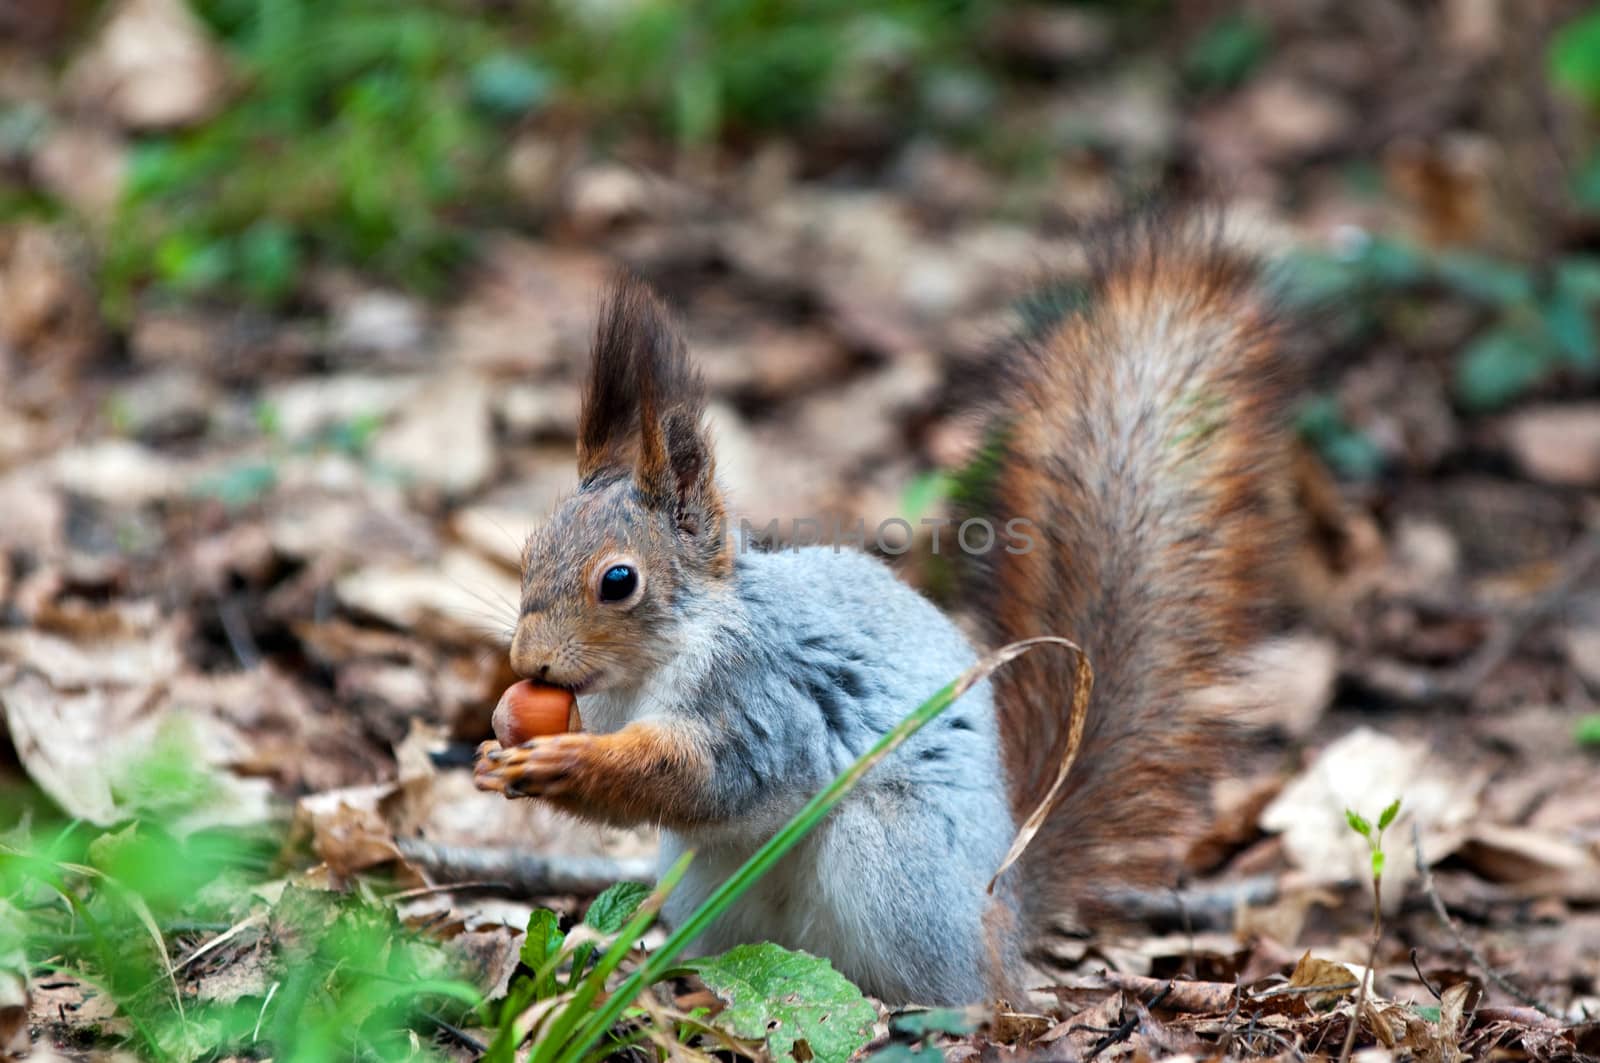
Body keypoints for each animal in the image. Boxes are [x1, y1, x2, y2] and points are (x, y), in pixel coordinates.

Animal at [473, 214, 1299, 1005]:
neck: (662, 657)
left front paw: (567, 762)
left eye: (619, 581)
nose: (527, 661)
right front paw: (496, 753)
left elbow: (717, 778)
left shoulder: (764, 700)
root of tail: (1003, 915)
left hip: (893, 857)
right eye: (530, 548)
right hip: (708, 878)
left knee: (959, 989)